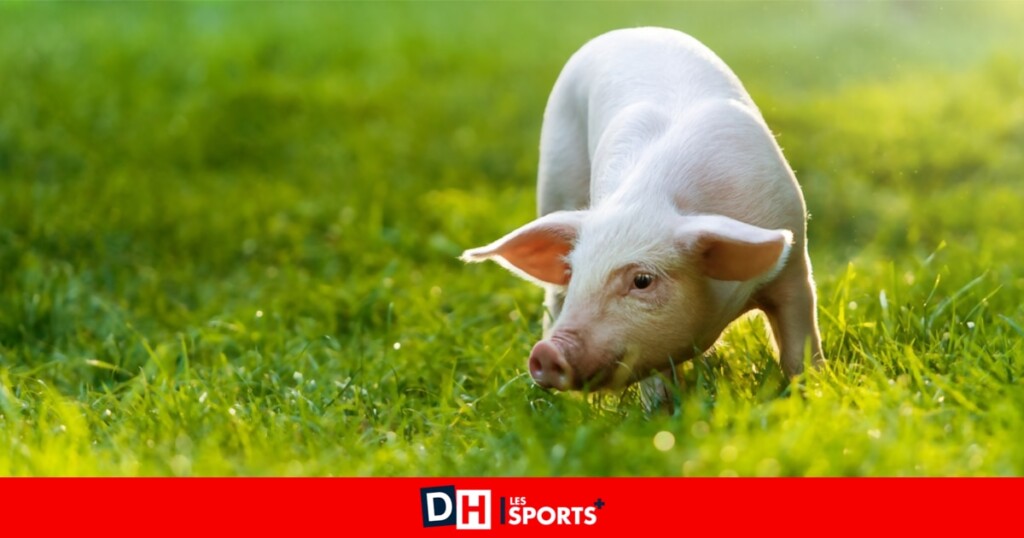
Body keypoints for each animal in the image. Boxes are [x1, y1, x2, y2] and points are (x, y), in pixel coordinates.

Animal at [461, 27, 823, 392]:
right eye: (576, 272)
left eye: (643, 280)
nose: (546, 354)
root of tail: (626, 31)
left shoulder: (793, 262)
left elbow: (799, 341)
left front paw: (811, 388)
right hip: (554, 175)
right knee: (553, 297)